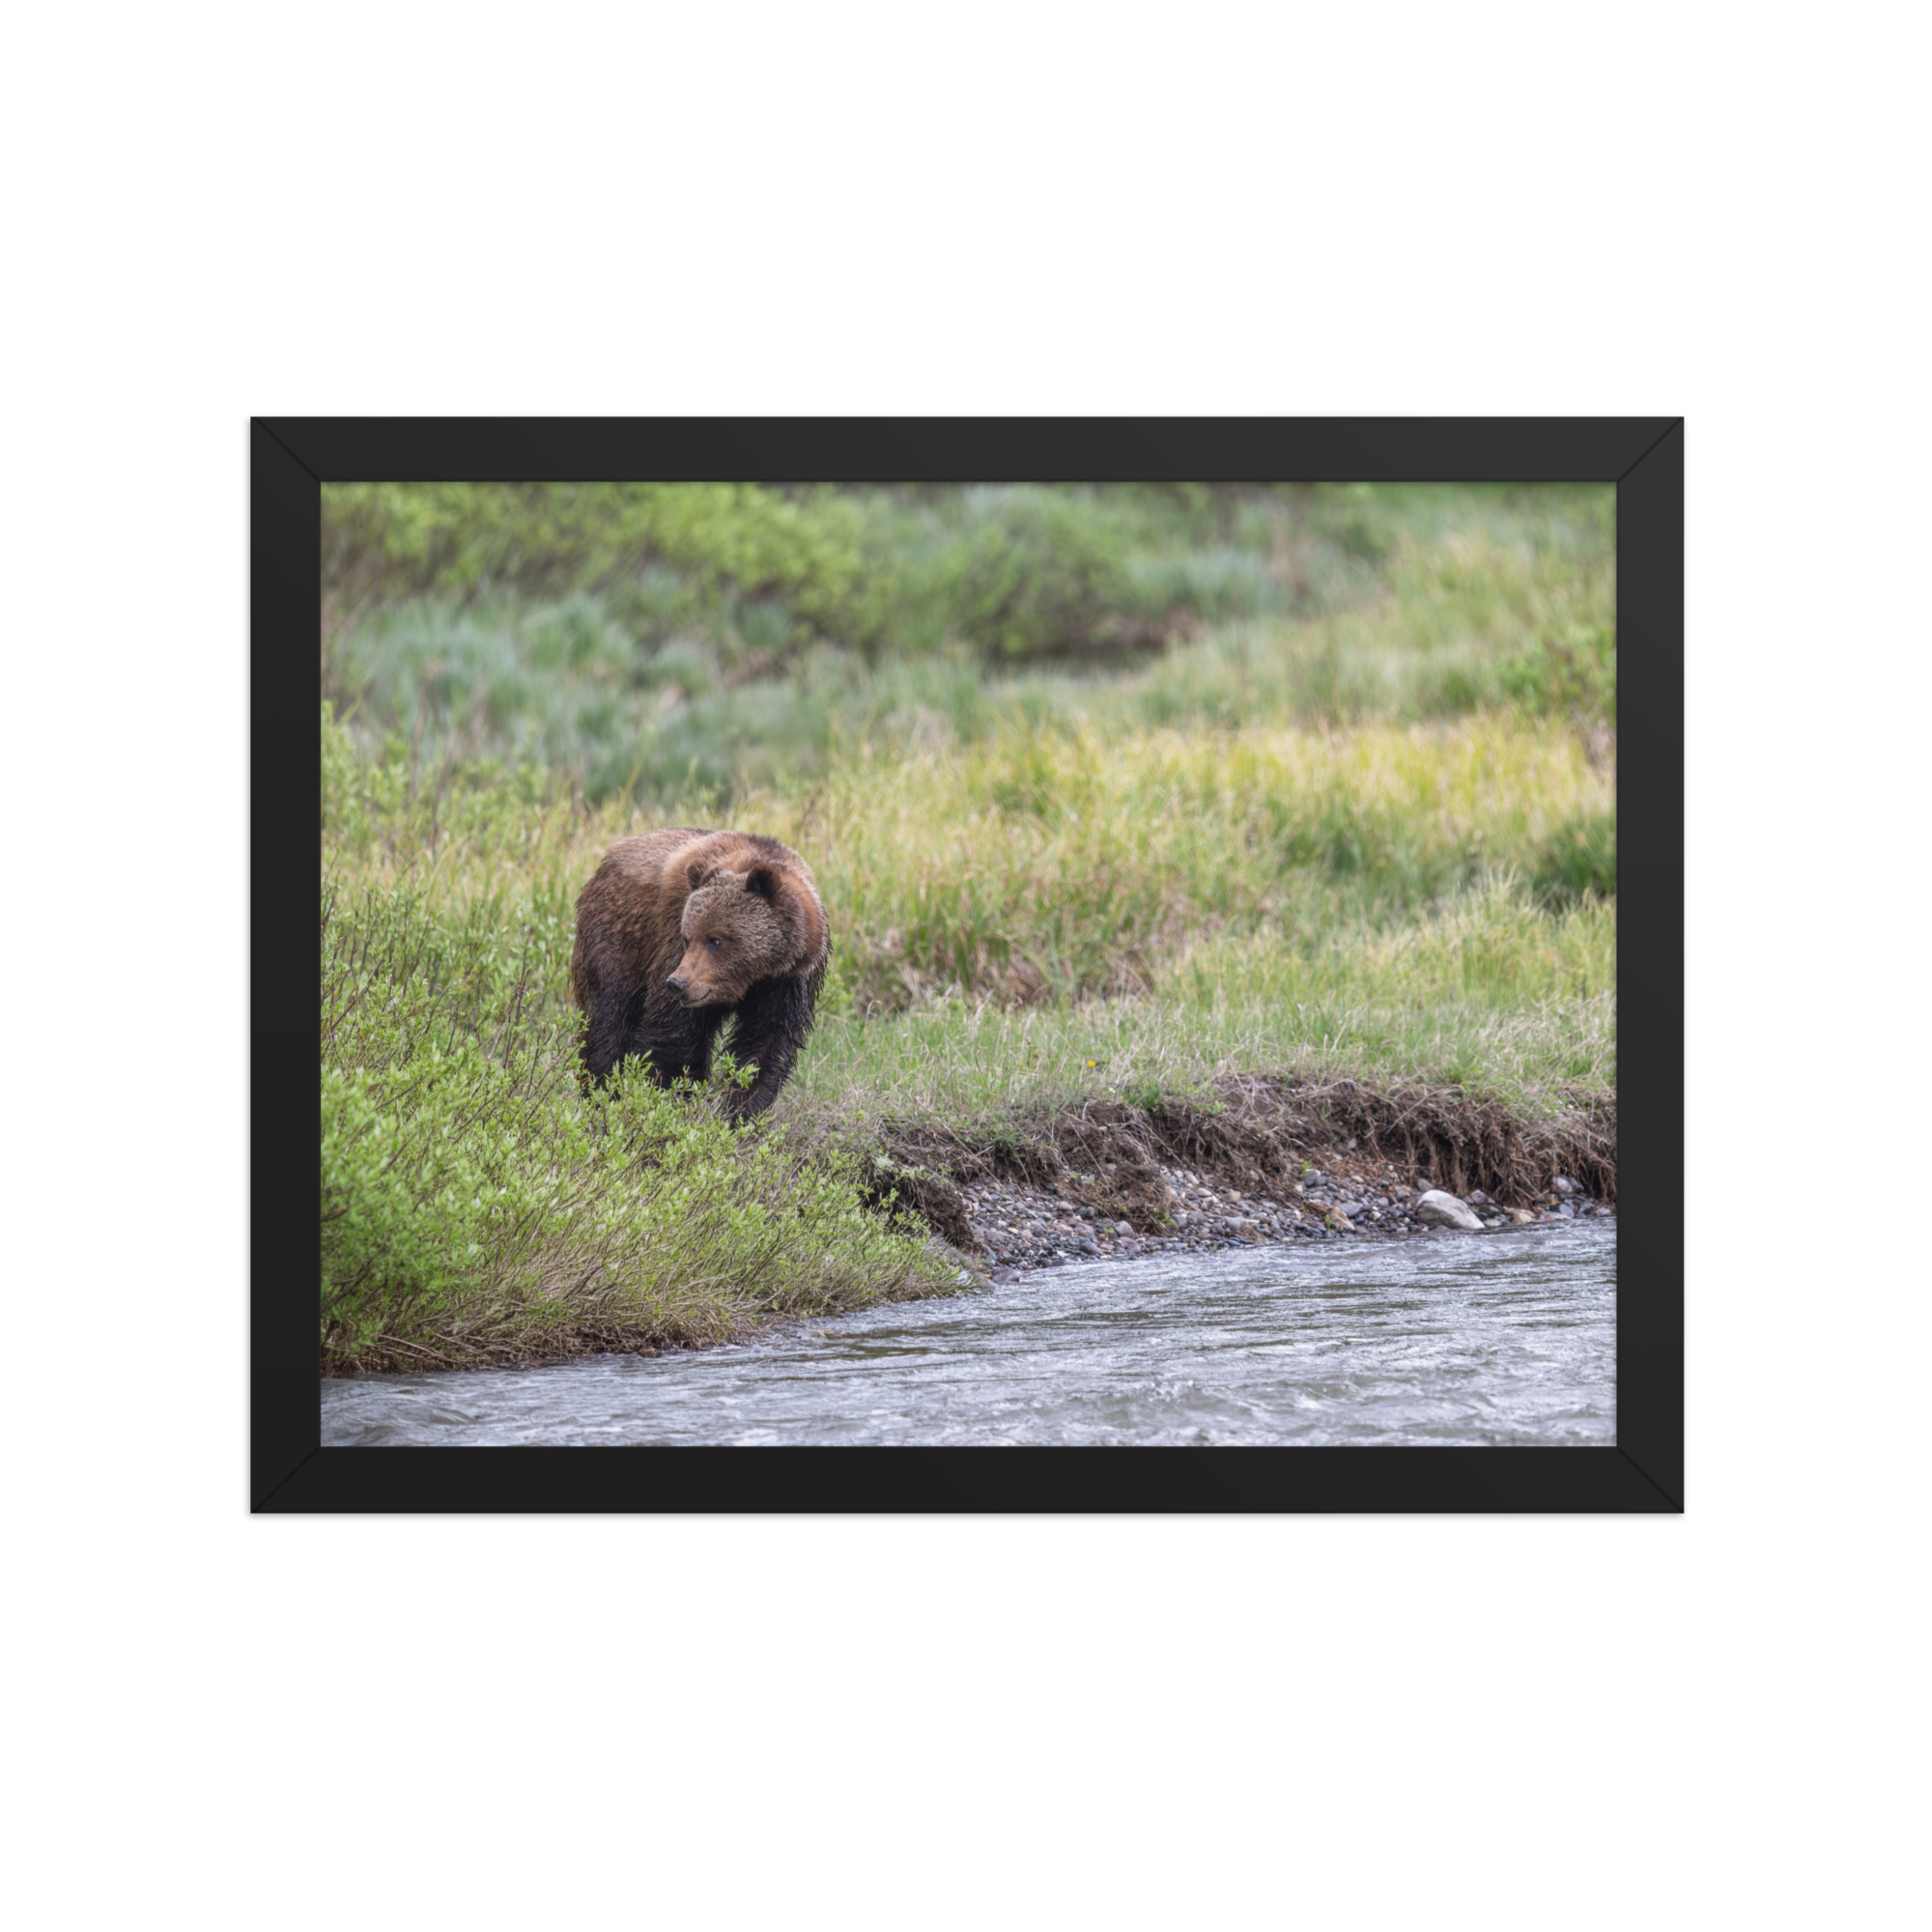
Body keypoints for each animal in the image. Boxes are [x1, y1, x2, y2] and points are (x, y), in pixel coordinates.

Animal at [568, 827, 831, 1120]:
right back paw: (601, 1095)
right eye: (687, 937)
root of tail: (607, 859)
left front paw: (740, 1112)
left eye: (715, 939)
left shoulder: (788, 983)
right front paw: (670, 1099)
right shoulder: (671, 943)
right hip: (619, 938)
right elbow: (675, 1035)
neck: (753, 977)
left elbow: (765, 1046)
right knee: (608, 1020)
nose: (677, 984)